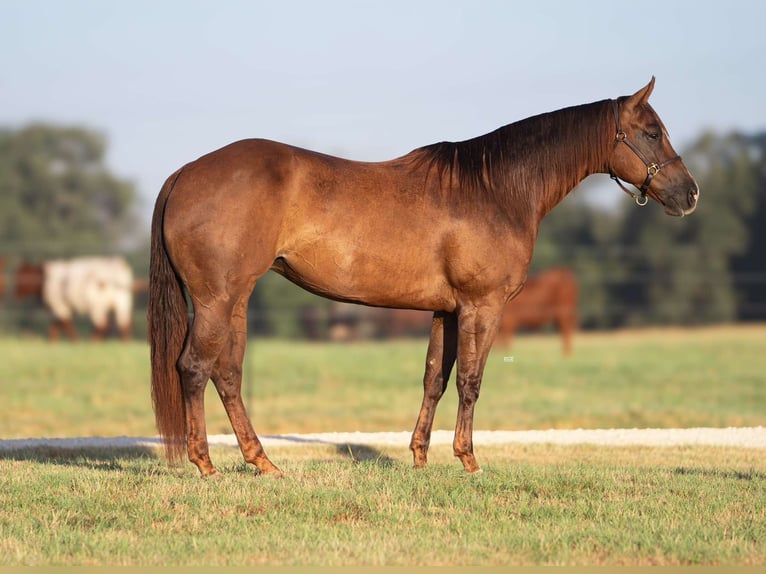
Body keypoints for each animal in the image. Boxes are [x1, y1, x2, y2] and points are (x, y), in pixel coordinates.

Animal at [147, 77, 700, 482]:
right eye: (652, 131)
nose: (690, 194)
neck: (494, 190)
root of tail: (185, 173)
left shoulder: (445, 311)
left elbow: (435, 378)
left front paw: (419, 457)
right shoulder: (482, 306)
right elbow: (471, 381)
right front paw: (469, 460)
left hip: (235, 300)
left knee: (228, 375)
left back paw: (262, 462)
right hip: (217, 300)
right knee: (194, 368)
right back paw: (206, 465)